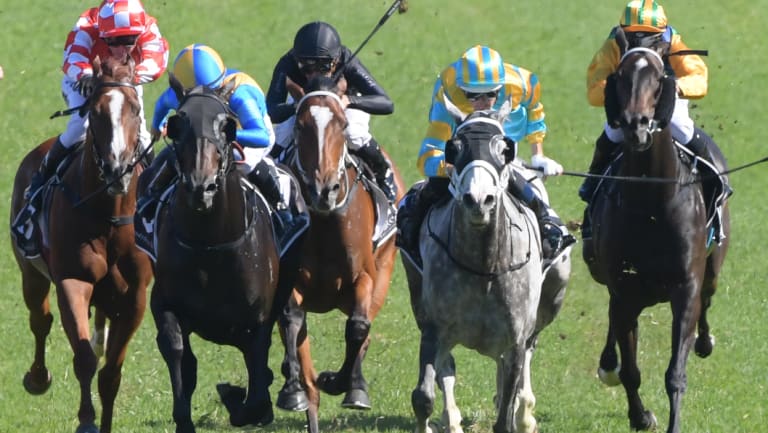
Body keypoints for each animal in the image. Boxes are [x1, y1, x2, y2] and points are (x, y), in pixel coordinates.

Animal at [8, 57, 153, 432]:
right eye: (96, 111)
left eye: (135, 109)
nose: (117, 168)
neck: (109, 213)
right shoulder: (73, 281)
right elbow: (85, 358)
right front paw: (87, 420)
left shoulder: (135, 296)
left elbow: (111, 373)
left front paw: (105, 423)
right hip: (31, 272)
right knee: (40, 319)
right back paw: (37, 378)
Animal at [148, 77, 304, 432]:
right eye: (178, 124)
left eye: (227, 126)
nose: (200, 187)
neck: (209, 244)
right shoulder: (164, 302)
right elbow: (177, 352)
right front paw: (186, 417)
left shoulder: (257, 321)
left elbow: (257, 396)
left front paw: (236, 399)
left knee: (291, 319)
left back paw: (292, 390)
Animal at [276, 76, 408, 430]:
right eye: (300, 126)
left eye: (343, 123)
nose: (323, 190)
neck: (325, 223)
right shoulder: (291, 281)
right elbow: (291, 321)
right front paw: (293, 389)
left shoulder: (364, 277)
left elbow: (358, 328)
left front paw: (339, 382)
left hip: (383, 270)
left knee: (364, 331)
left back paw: (355, 387)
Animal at [402, 112, 568, 432]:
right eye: (455, 147)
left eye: (504, 149)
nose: (478, 199)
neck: (484, 267)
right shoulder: (433, 328)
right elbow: (423, 396)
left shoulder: (515, 338)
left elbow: (507, 405)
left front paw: (519, 412)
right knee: (448, 370)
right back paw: (453, 418)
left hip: (553, 293)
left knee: (526, 358)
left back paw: (526, 412)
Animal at [584, 28, 732, 430]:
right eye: (620, 76)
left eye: (658, 77)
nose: (635, 126)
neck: (652, 205)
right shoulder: (624, 289)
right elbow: (631, 370)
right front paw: (640, 416)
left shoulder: (685, 287)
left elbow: (675, 373)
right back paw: (607, 364)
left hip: (713, 263)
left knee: (708, 297)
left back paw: (704, 341)